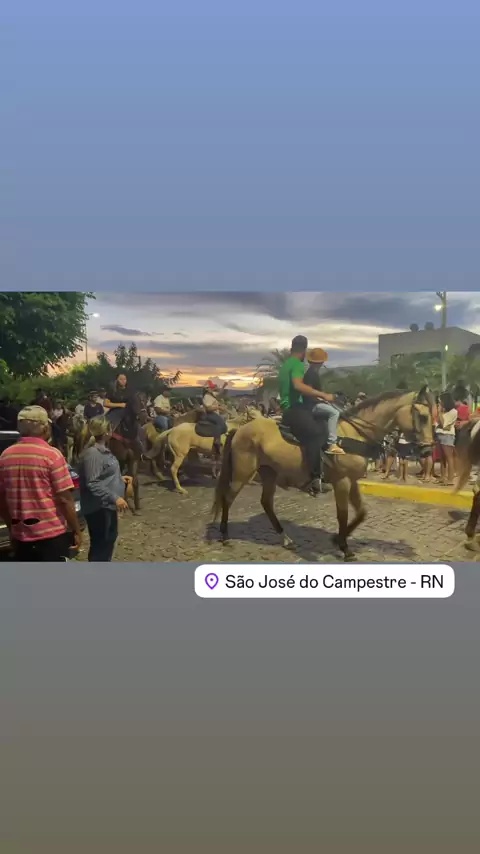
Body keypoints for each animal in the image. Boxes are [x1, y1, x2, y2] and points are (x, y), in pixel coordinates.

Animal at [212, 388, 435, 562]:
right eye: (423, 417)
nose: (427, 450)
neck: (353, 435)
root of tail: (240, 430)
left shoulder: (352, 481)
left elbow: (361, 513)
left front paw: (338, 539)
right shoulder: (342, 482)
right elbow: (343, 514)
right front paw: (345, 548)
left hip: (269, 473)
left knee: (266, 502)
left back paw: (286, 539)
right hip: (243, 473)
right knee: (228, 498)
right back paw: (224, 535)